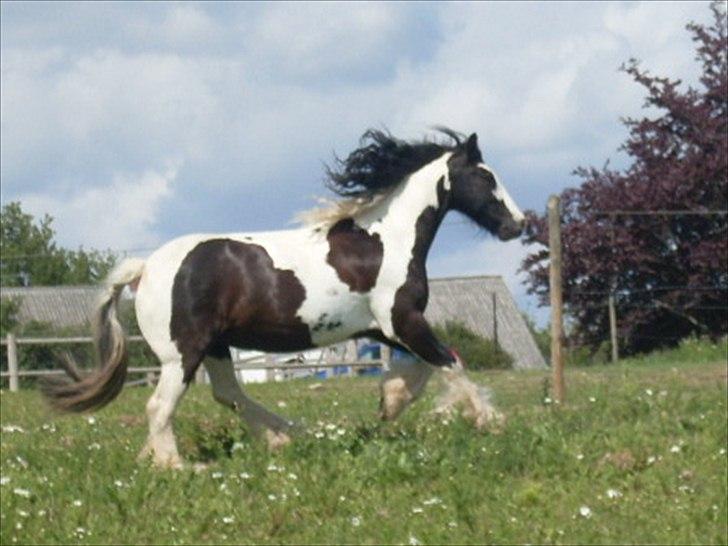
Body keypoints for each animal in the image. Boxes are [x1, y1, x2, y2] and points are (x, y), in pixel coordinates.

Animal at [44, 129, 524, 468]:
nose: (517, 224)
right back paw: (177, 465)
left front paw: (390, 401)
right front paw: (489, 420)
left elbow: (428, 364)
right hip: (184, 353)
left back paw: (281, 435)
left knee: (228, 394)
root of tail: (144, 269)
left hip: (215, 347)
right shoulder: (402, 320)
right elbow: (450, 362)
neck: (381, 241)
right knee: (161, 406)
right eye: (486, 177)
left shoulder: (382, 328)